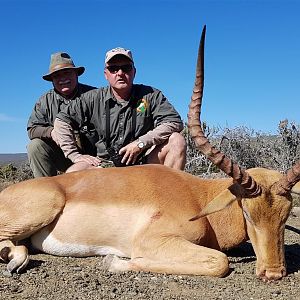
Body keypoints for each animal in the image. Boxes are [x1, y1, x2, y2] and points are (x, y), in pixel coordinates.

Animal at [0, 26, 300, 282]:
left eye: (286, 215)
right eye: (247, 213)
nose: (274, 273)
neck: (198, 197)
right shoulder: (151, 241)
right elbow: (219, 261)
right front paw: (112, 262)